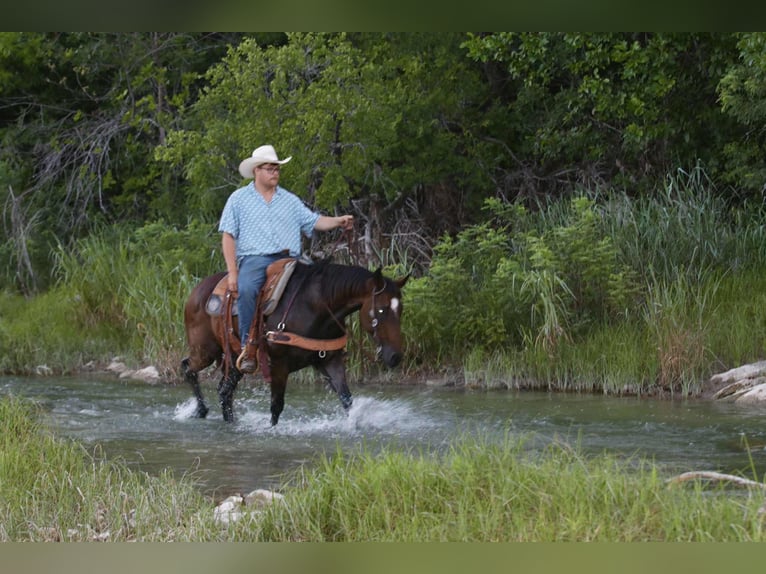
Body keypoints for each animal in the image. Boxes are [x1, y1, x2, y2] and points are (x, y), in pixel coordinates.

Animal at [181, 258, 408, 426]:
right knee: (188, 368)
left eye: (400, 310)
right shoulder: (278, 365)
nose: (395, 356)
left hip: (237, 359)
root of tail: (196, 291)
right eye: (381, 310)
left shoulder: (330, 360)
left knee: (224, 391)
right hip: (205, 350)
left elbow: (347, 399)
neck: (315, 306)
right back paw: (200, 410)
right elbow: (276, 406)